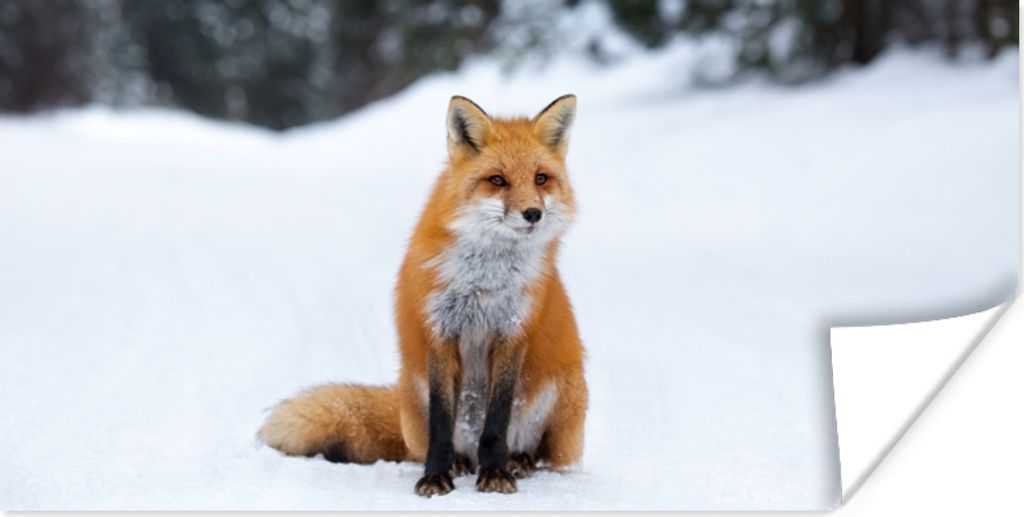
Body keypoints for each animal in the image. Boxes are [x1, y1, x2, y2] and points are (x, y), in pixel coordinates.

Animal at [258, 94, 587, 497]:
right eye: (497, 180)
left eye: (541, 178)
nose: (533, 213)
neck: (484, 280)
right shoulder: (439, 331)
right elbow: (441, 425)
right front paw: (436, 476)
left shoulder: (512, 332)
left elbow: (496, 422)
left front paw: (495, 473)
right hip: (414, 391)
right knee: (435, 443)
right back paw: (461, 463)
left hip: (564, 393)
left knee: (541, 455)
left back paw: (517, 461)